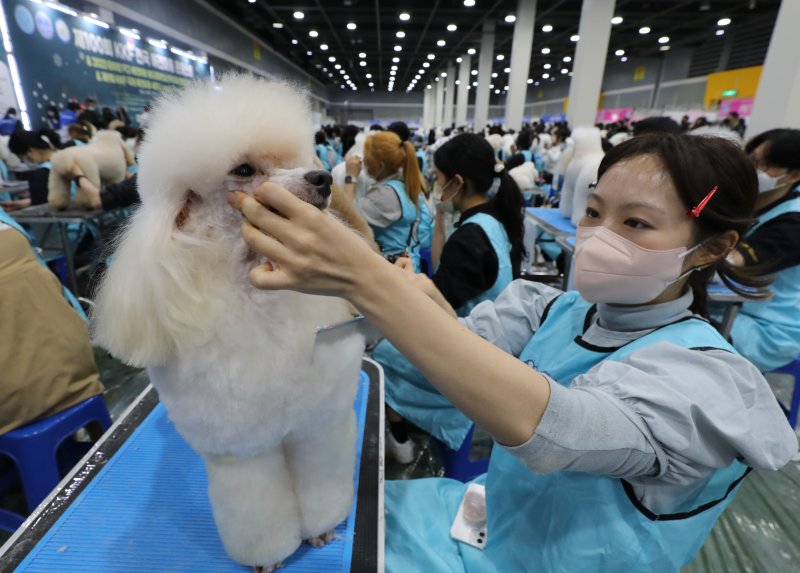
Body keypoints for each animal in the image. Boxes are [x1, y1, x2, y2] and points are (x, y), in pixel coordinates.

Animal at [94, 73, 366, 568]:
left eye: (290, 162)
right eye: (243, 170)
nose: (321, 178)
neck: (256, 298)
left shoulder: (317, 427)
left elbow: (322, 482)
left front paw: (321, 529)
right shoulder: (243, 452)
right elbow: (257, 510)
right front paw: (270, 556)